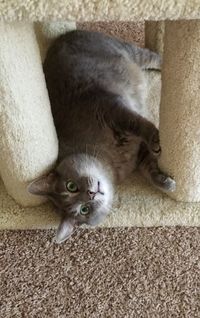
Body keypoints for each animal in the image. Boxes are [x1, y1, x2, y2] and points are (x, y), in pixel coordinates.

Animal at [27, 30, 175, 243]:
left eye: (71, 186)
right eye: (84, 210)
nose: (91, 194)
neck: (110, 159)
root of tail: (63, 35)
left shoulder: (111, 108)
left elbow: (138, 123)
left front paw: (156, 139)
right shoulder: (137, 154)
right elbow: (149, 169)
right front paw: (164, 181)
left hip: (128, 52)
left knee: (154, 57)